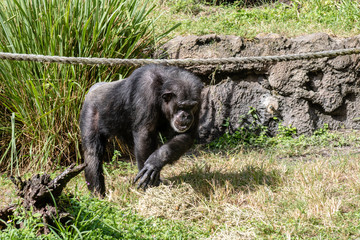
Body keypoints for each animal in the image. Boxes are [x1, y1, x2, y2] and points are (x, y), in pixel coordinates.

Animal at [80, 64, 202, 197]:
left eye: (191, 106)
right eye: (181, 106)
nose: (186, 115)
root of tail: (92, 88)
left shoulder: (199, 98)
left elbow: (186, 135)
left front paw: (155, 162)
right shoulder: (145, 90)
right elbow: (145, 133)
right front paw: (149, 185)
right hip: (90, 110)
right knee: (92, 152)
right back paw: (97, 194)